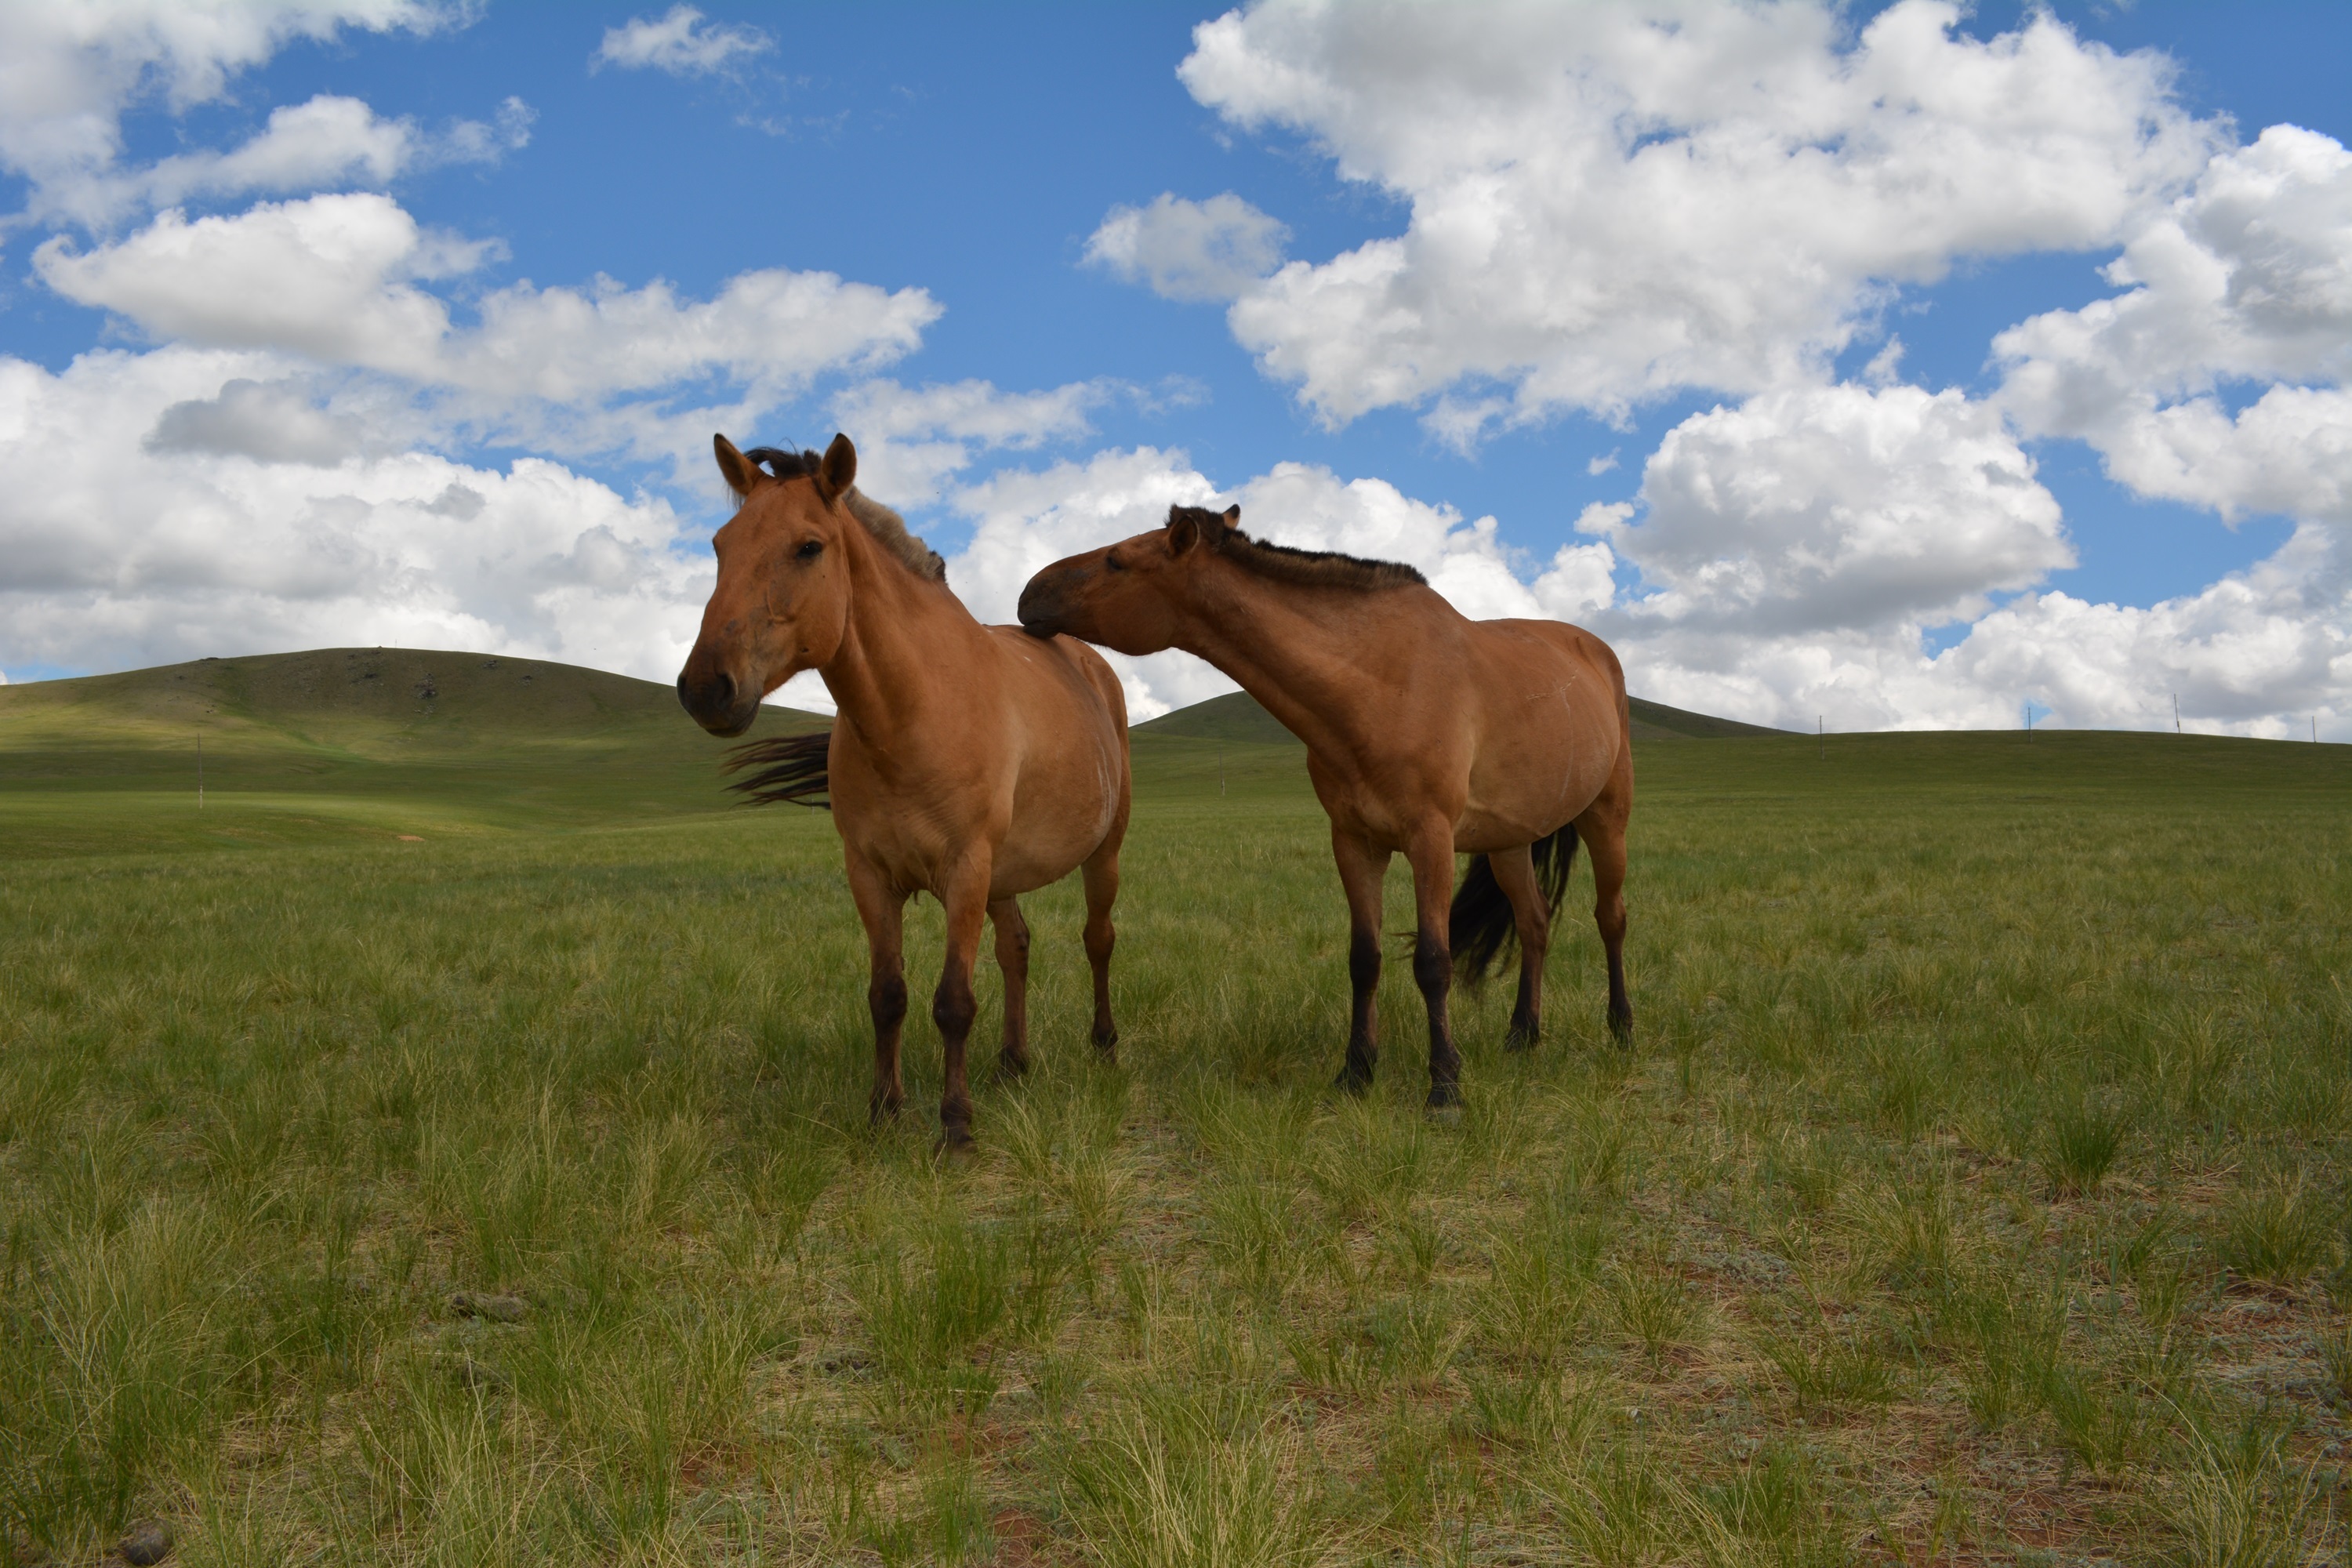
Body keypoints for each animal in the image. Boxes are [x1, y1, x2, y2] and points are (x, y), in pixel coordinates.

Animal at [682, 434, 1129, 1147]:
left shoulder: (965, 869)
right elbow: (887, 995)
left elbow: (953, 1003)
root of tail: (1089, 661)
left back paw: (1104, 1043)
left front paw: (955, 1127)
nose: (706, 689)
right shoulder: (870, 875)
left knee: (1098, 939)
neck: (911, 710)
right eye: (721, 545)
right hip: (1003, 876)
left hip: (1101, 853)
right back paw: (1013, 1062)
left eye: (808, 547)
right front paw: (884, 1108)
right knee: (1016, 948)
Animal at [1021, 510, 1628, 1109]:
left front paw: (1444, 1088)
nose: (1028, 594)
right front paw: (1356, 1072)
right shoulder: (1355, 842)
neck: (1380, 682)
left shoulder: (1431, 839)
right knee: (1534, 923)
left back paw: (1621, 1028)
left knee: (1611, 918)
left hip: (1607, 817)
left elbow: (1434, 963)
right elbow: (1364, 959)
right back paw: (1523, 1035)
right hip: (1510, 842)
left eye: (1116, 561)